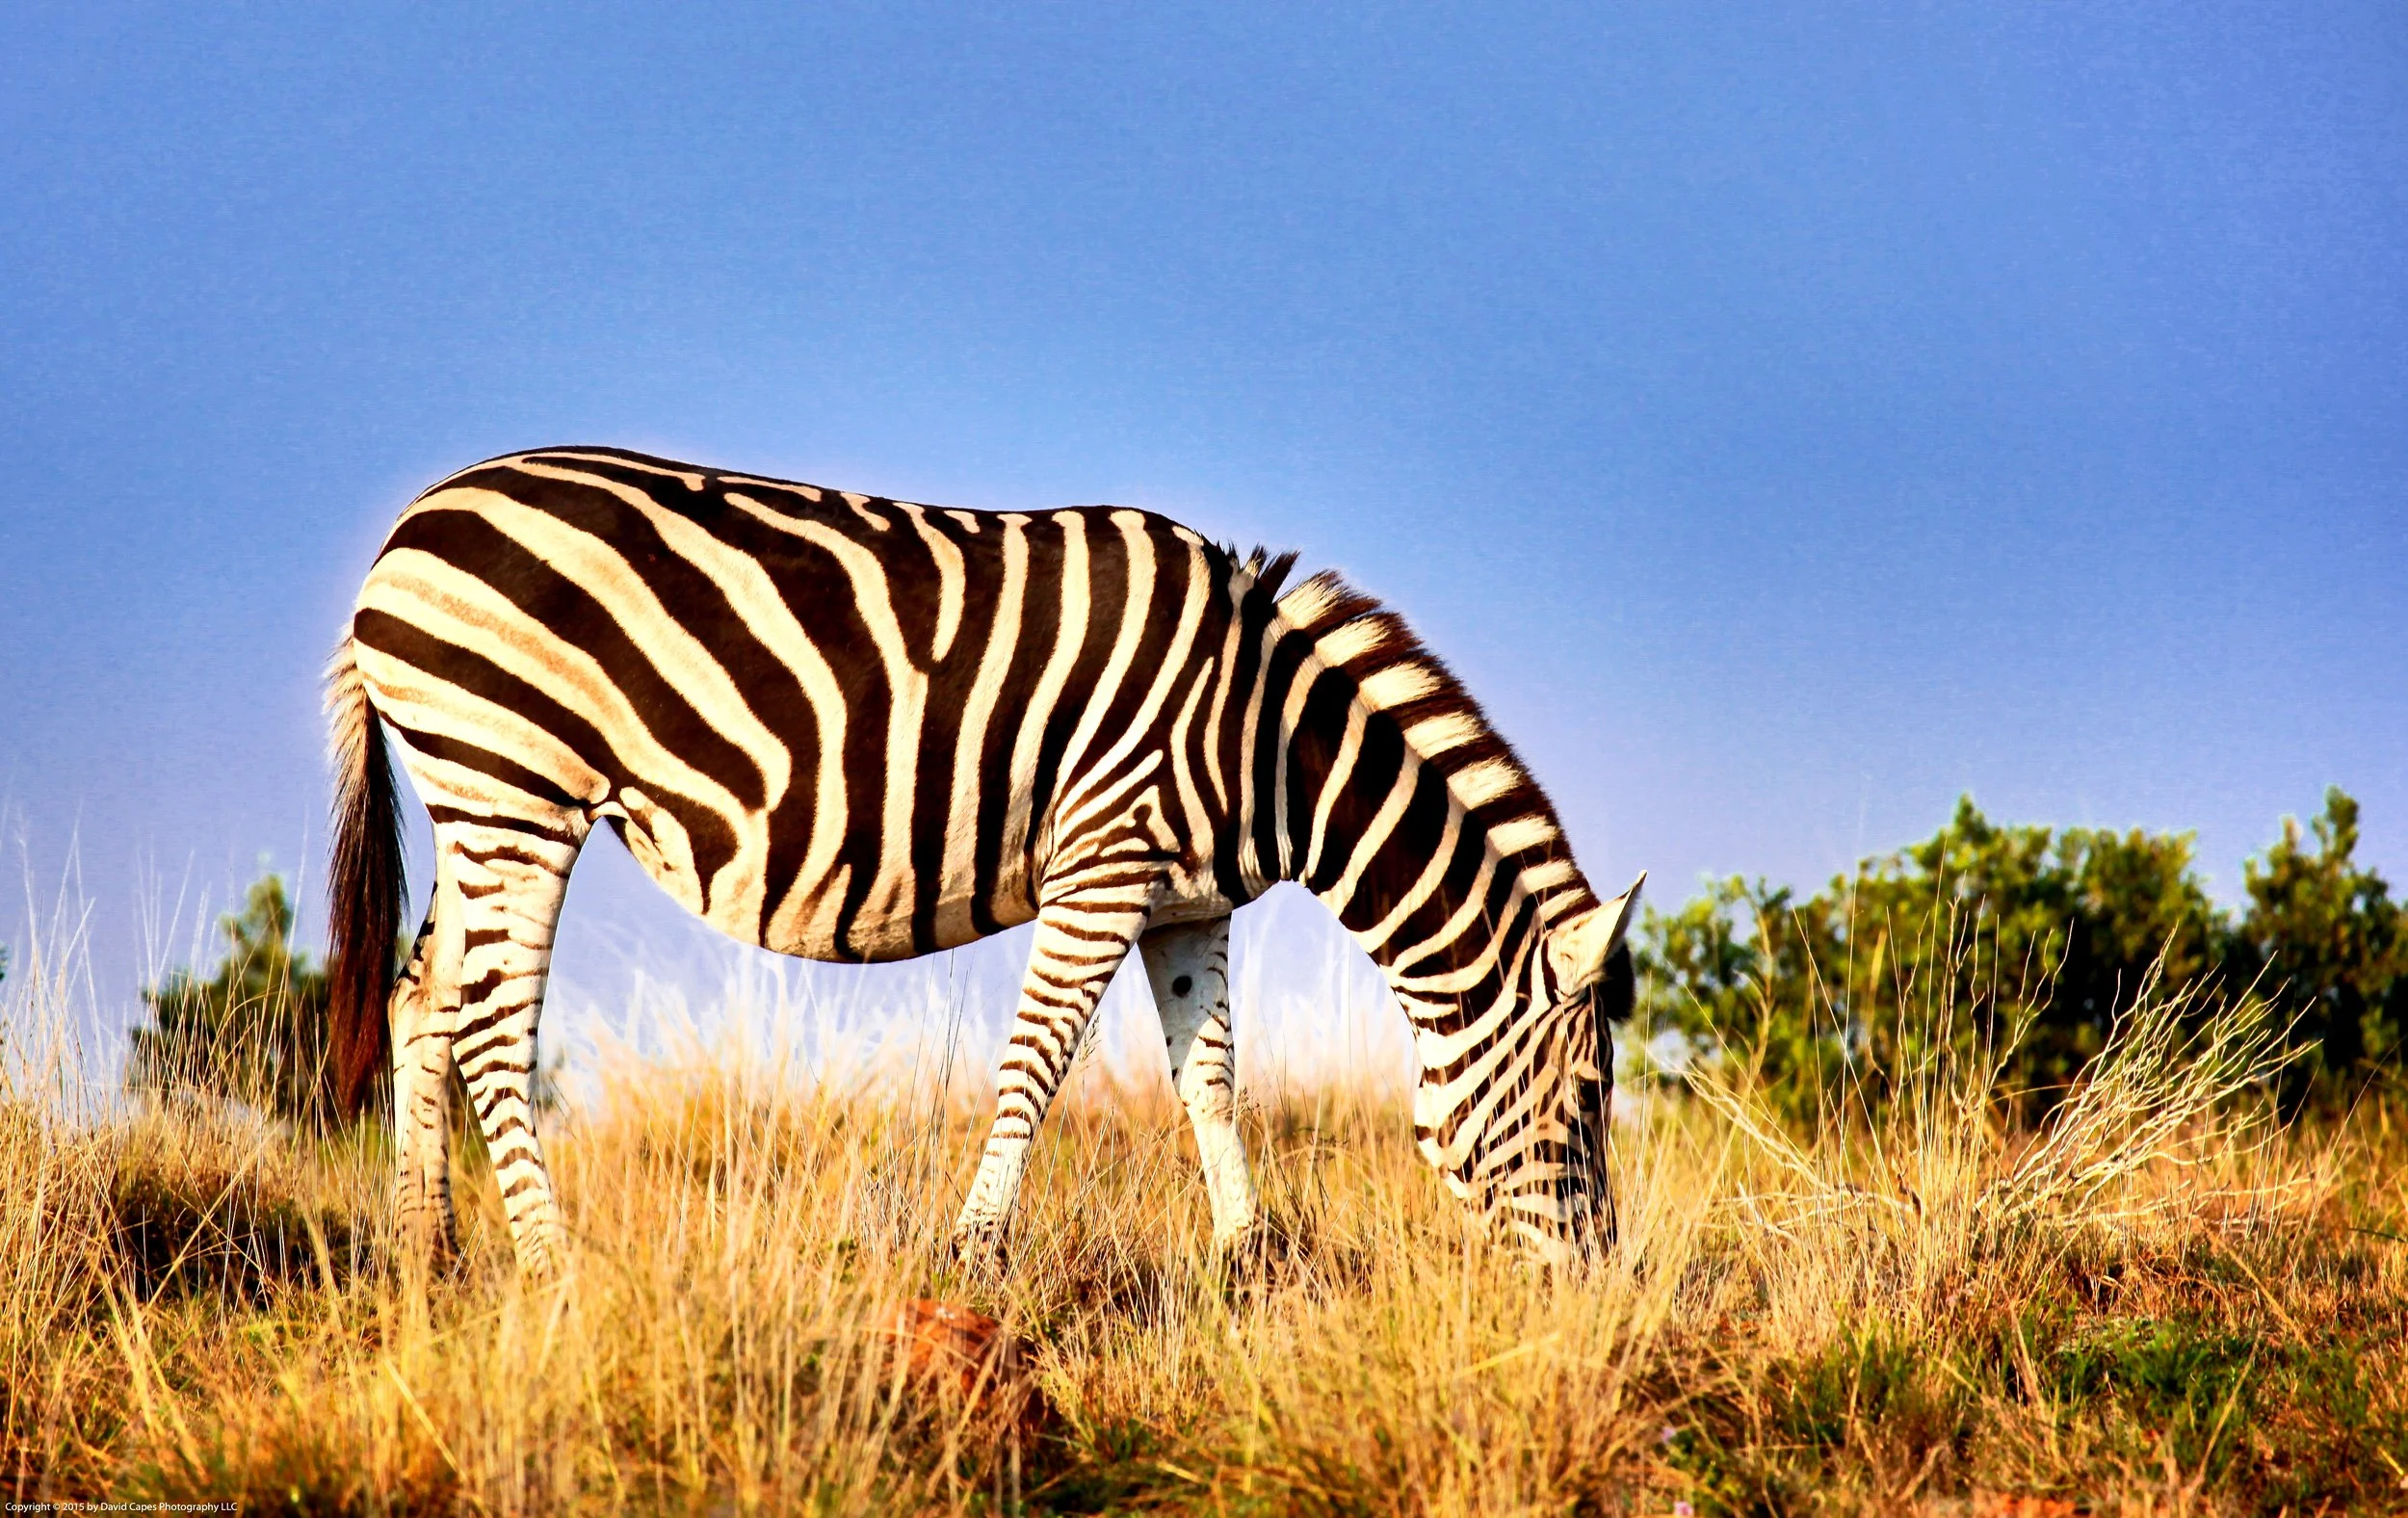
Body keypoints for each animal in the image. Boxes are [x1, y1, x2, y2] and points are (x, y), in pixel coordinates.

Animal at [325, 445, 1643, 1279]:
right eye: (1587, 1098)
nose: (1600, 1288)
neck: (1266, 740)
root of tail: (400, 538)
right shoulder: (1103, 860)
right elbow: (1035, 1065)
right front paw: (974, 1256)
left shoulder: (1184, 904)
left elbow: (1211, 1080)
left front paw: (1253, 1268)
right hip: (516, 782)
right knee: (493, 1026)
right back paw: (550, 1269)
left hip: (474, 798)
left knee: (421, 999)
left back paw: (426, 1255)